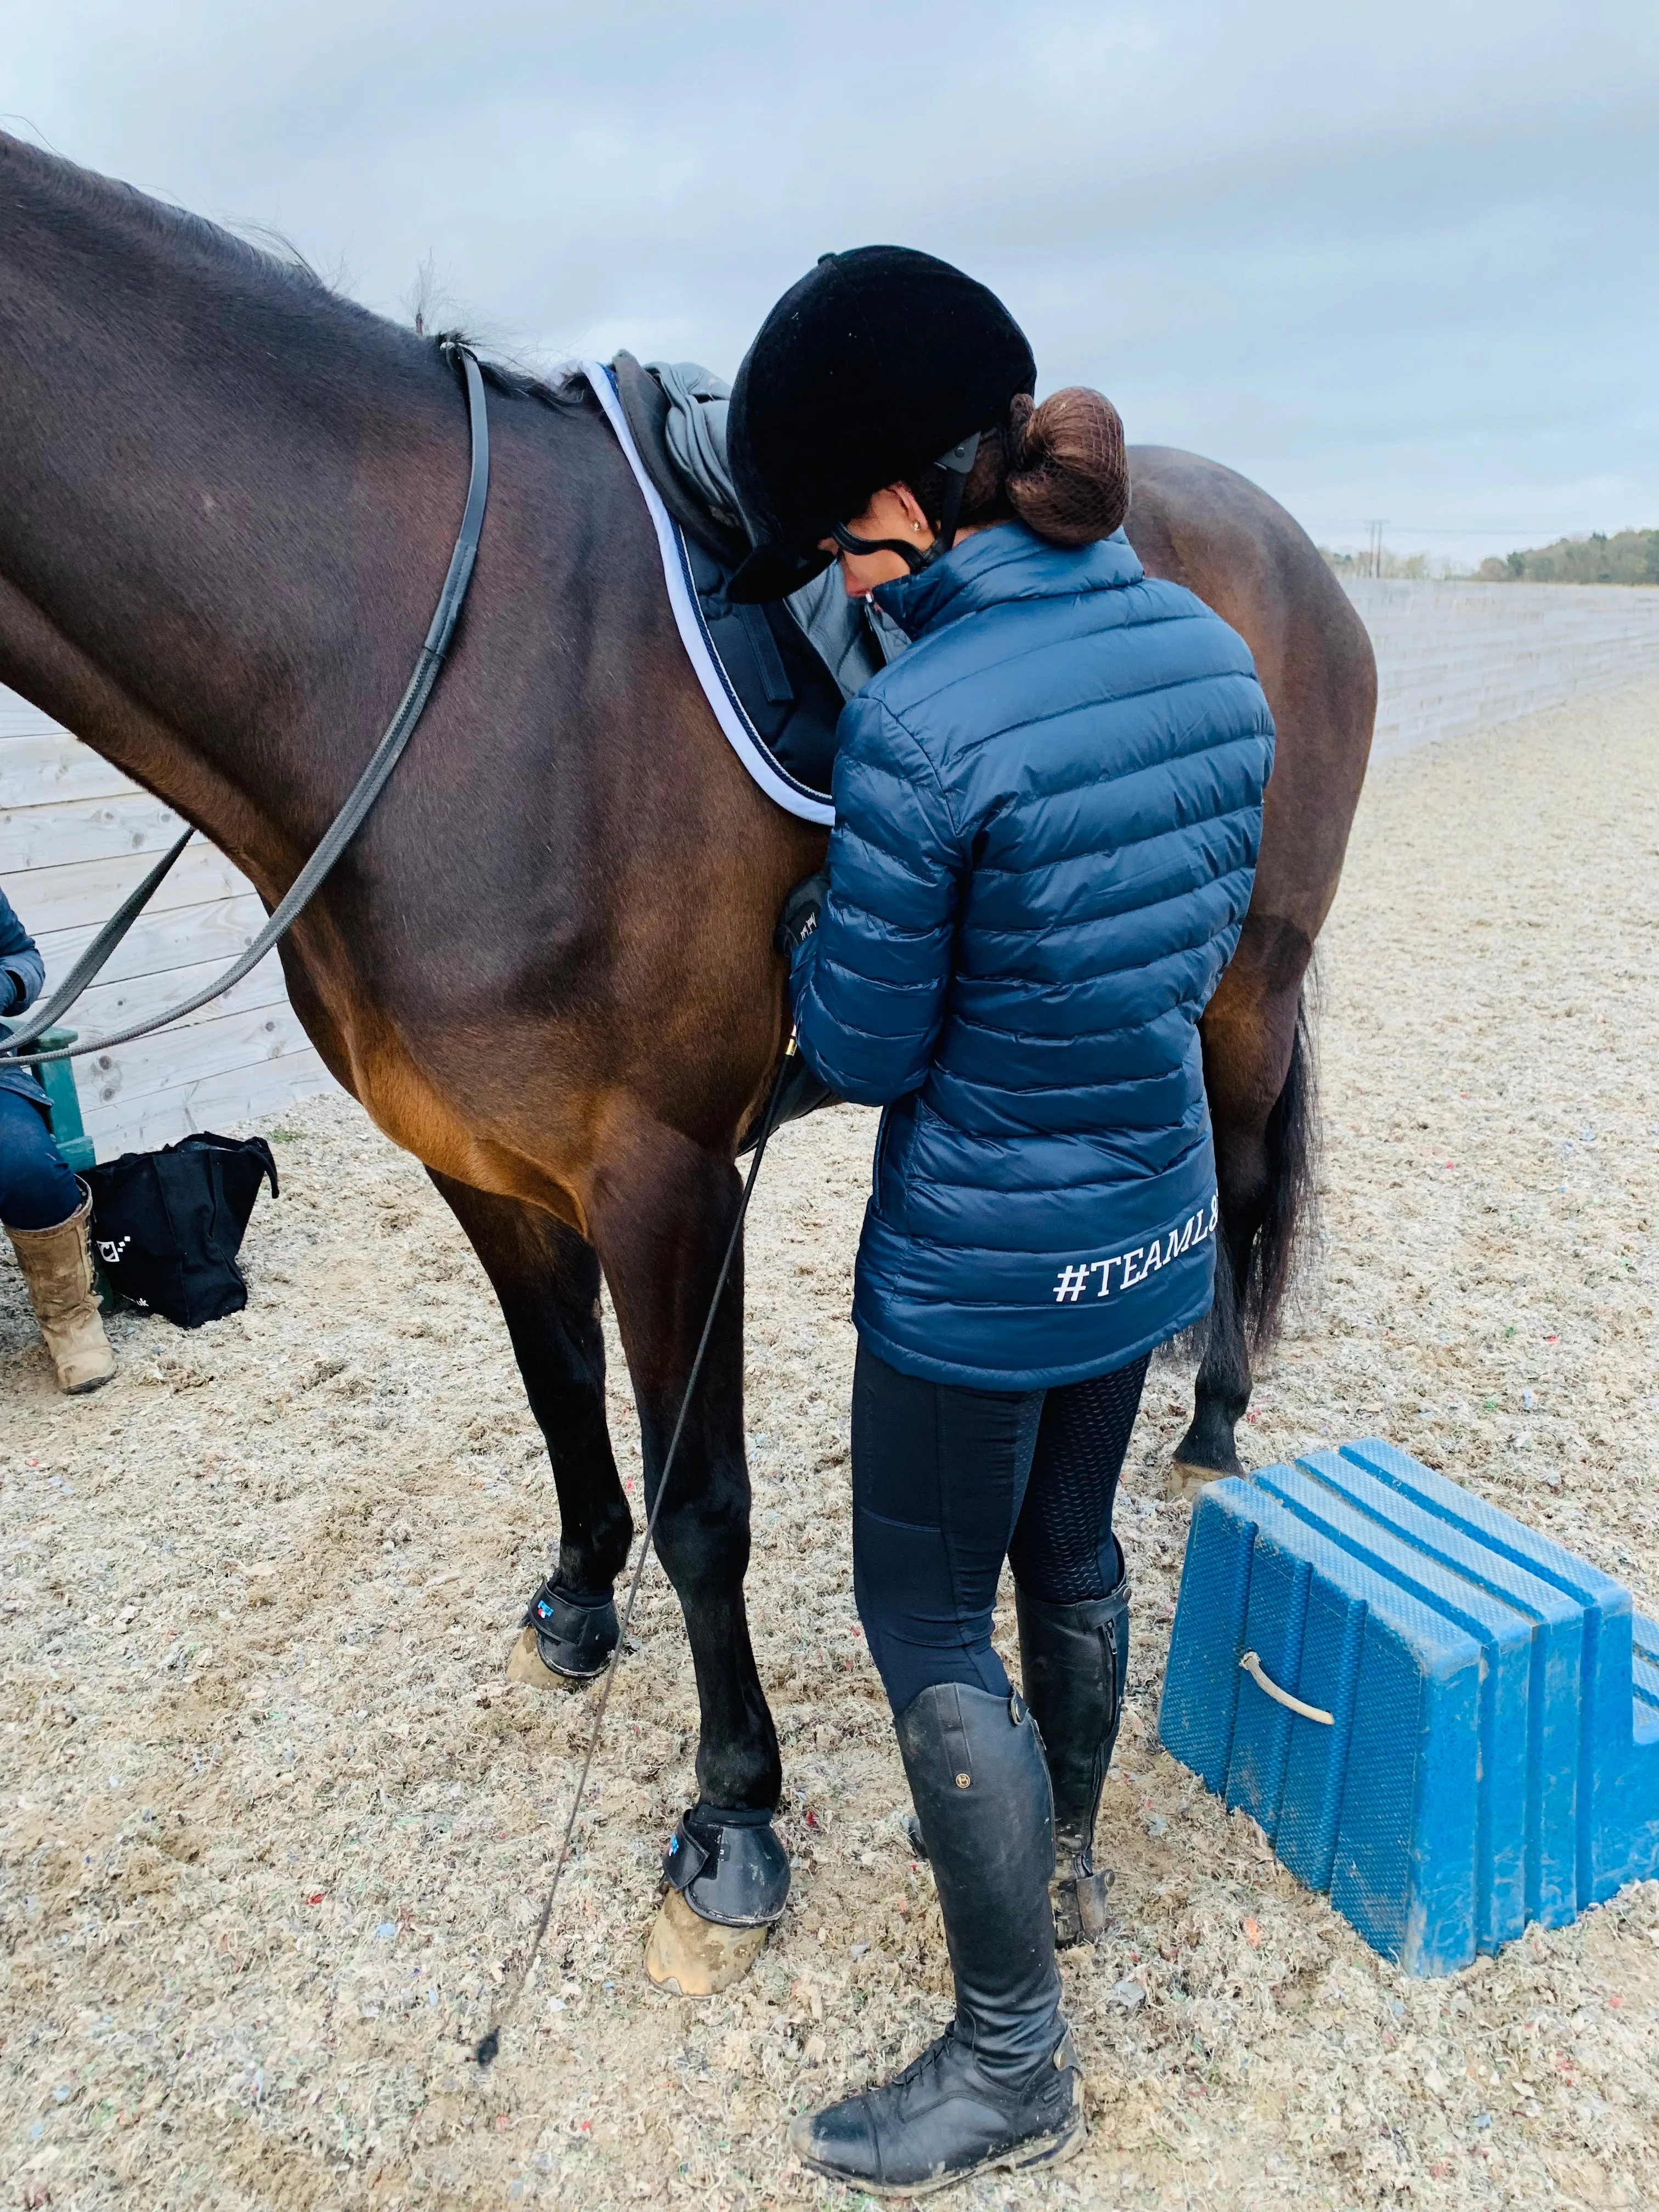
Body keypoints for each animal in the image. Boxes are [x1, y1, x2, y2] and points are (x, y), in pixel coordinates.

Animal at [0, 125, 1380, 1990]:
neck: (416, 665)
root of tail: (1289, 540)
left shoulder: (662, 1178)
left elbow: (703, 1501)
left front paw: (733, 1813)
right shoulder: (483, 1162)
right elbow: (561, 1397)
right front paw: (580, 1603)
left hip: (1252, 983)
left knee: (1231, 1192)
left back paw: (1215, 1413)